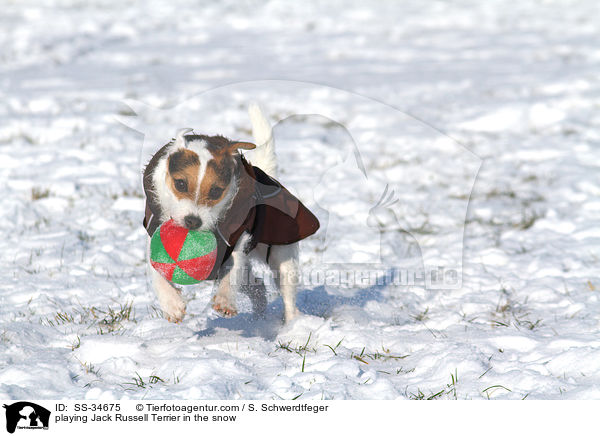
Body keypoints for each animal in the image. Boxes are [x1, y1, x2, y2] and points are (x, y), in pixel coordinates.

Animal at [144, 105, 322, 324]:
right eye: (180, 184)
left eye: (215, 191)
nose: (193, 221)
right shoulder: (154, 233)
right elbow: (155, 269)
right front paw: (171, 305)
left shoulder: (238, 238)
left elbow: (233, 268)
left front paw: (225, 300)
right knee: (258, 285)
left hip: (283, 258)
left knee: (287, 296)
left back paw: (292, 326)